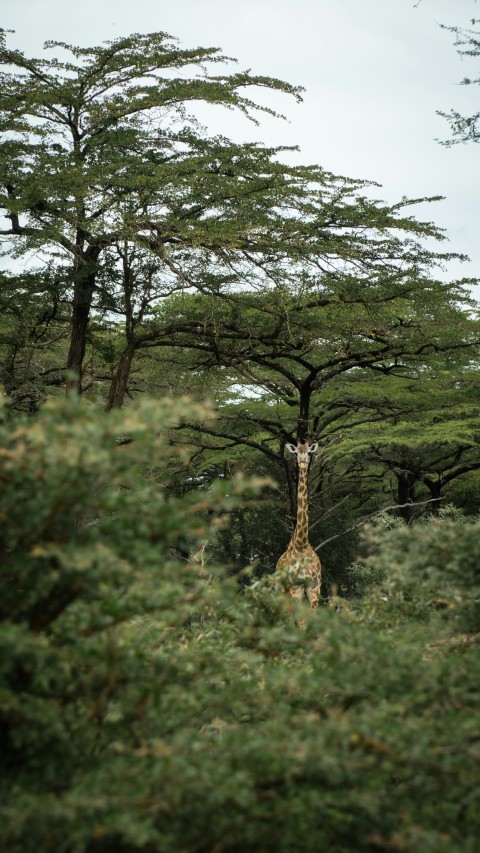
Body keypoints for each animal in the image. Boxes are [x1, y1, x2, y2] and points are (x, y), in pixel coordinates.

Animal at [276, 440, 322, 615]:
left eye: (309, 452)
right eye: (296, 453)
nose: (302, 462)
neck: (301, 544)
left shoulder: (315, 589)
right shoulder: (295, 589)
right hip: (282, 592)